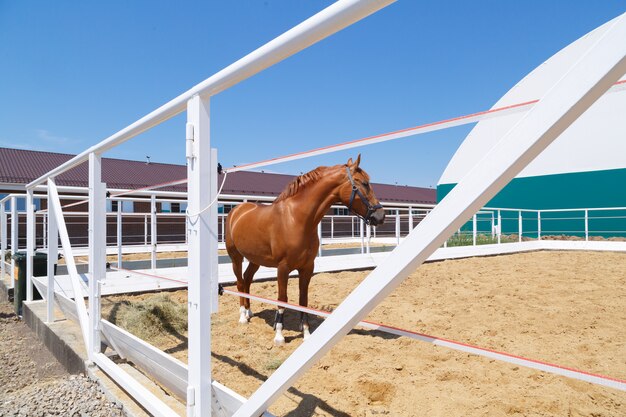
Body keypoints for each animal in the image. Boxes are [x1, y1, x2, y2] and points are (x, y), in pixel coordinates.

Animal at [222, 154, 382, 342]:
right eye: (364, 183)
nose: (381, 215)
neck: (297, 219)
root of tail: (237, 210)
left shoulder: (307, 268)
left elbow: (303, 300)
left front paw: (306, 333)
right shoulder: (283, 268)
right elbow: (282, 298)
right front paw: (279, 335)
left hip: (255, 259)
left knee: (247, 280)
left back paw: (249, 312)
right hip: (236, 257)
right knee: (240, 283)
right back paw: (242, 317)